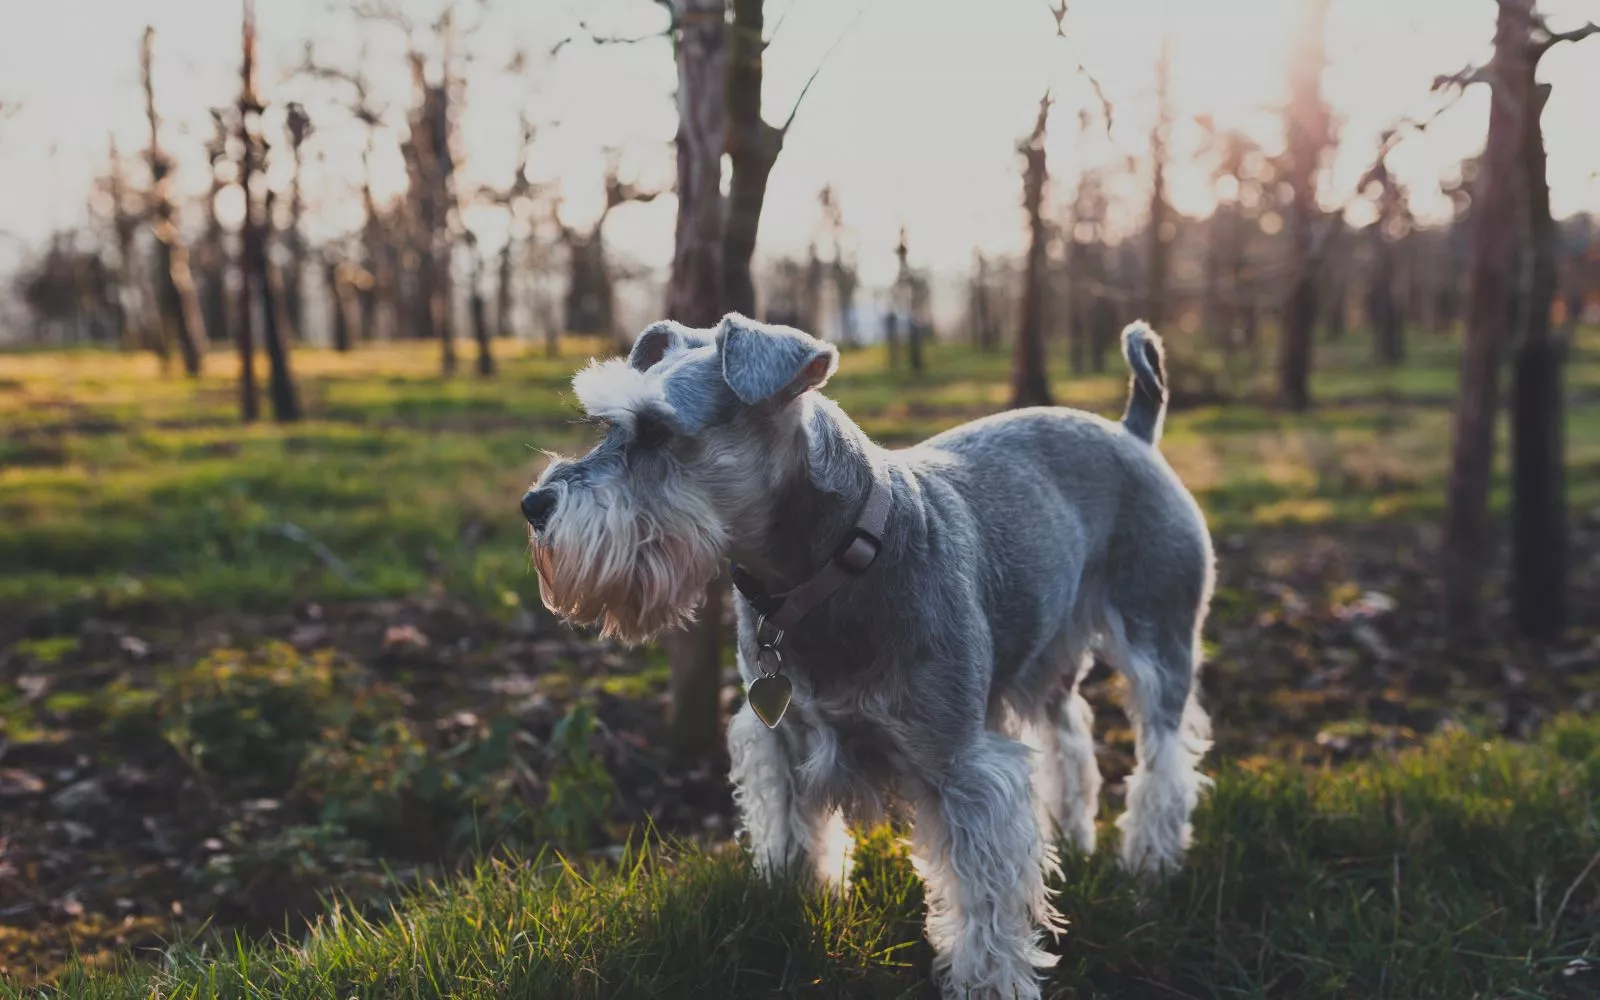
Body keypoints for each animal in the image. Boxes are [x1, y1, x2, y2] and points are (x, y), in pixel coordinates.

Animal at [524, 312, 1209, 998]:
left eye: (660, 431)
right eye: (609, 427)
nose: (534, 506)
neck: (832, 570)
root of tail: (1133, 435)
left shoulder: (958, 766)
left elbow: (984, 901)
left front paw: (988, 980)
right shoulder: (783, 739)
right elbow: (794, 834)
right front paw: (791, 906)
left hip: (1161, 639)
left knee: (1164, 760)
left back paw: (1150, 864)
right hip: (1046, 651)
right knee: (1069, 734)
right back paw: (1072, 835)